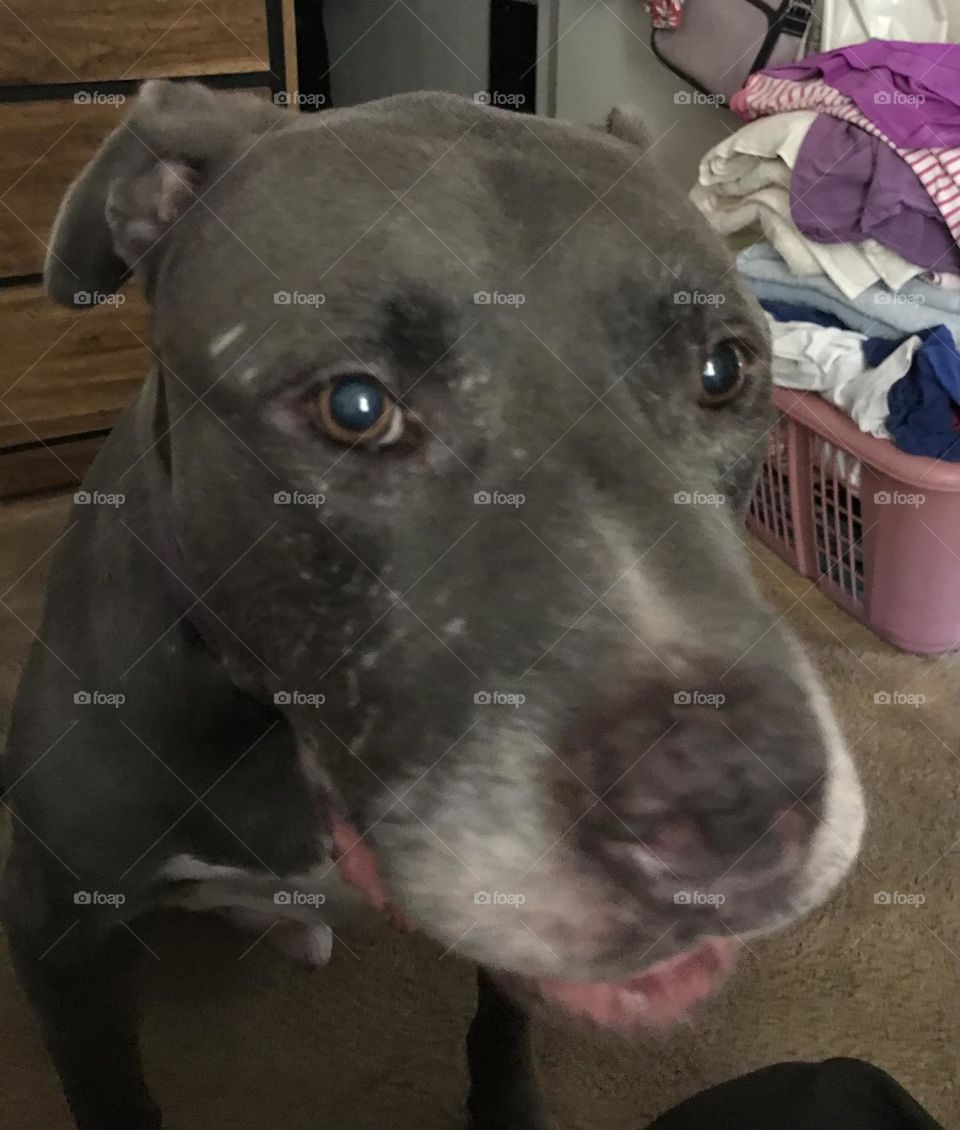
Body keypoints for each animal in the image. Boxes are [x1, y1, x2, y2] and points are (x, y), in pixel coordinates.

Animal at [0, 85, 862, 1130]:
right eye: (356, 407)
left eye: (722, 370)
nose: (729, 796)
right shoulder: (57, 936)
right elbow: (112, 1091)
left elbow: (501, 1025)